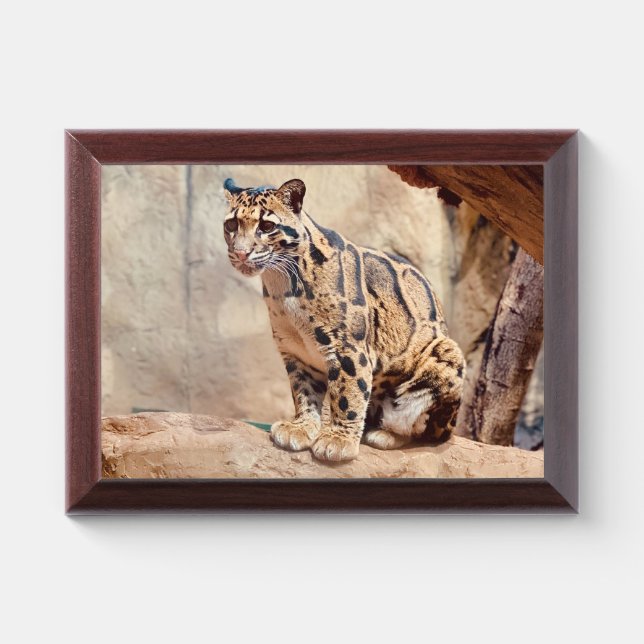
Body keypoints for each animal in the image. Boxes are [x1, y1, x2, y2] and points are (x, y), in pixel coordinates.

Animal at [222, 177, 465, 462]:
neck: (281, 284)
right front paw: (301, 427)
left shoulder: (347, 347)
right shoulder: (296, 351)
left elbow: (347, 394)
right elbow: (303, 392)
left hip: (446, 355)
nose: (240, 253)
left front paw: (337, 440)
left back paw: (385, 434)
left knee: (424, 430)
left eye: (267, 226)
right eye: (231, 224)